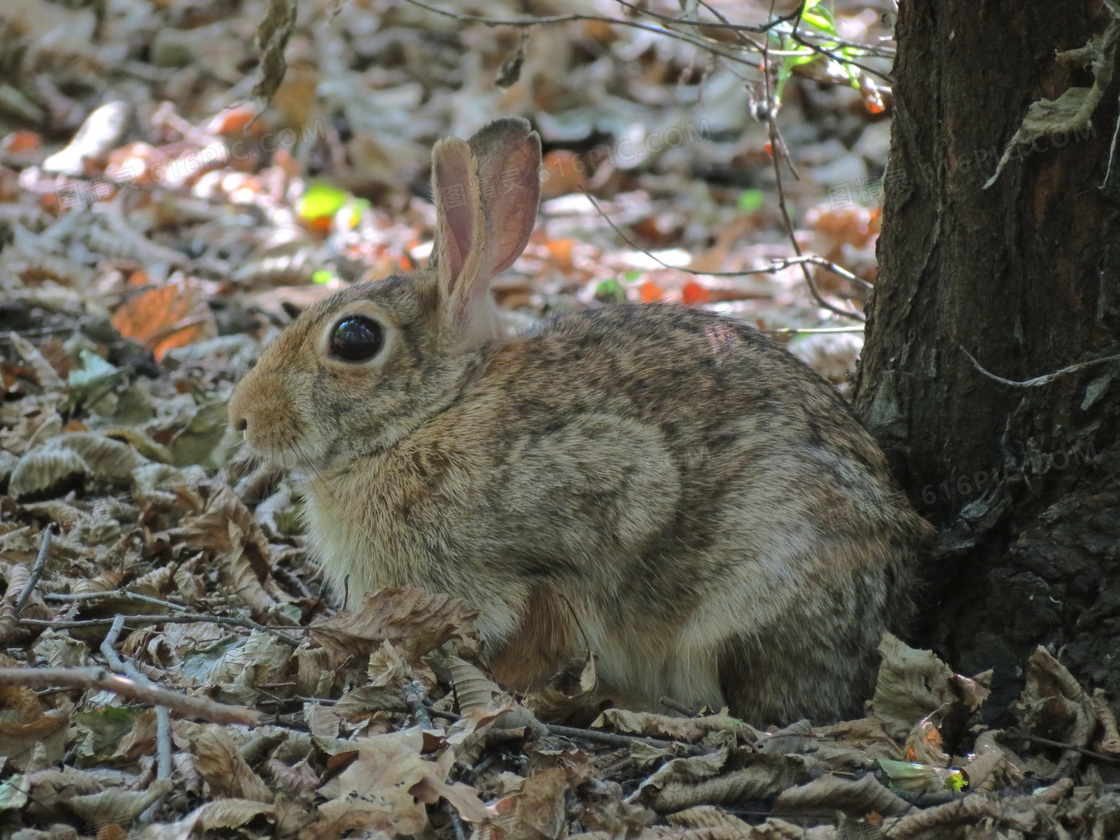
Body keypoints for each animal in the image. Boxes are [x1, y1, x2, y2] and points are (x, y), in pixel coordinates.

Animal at [225, 115, 927, 725]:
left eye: (354, 339)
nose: (241, 418)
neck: (436, 412)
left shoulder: (574, 533)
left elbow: (541, 632)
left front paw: (500, 689)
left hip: (752, 592)